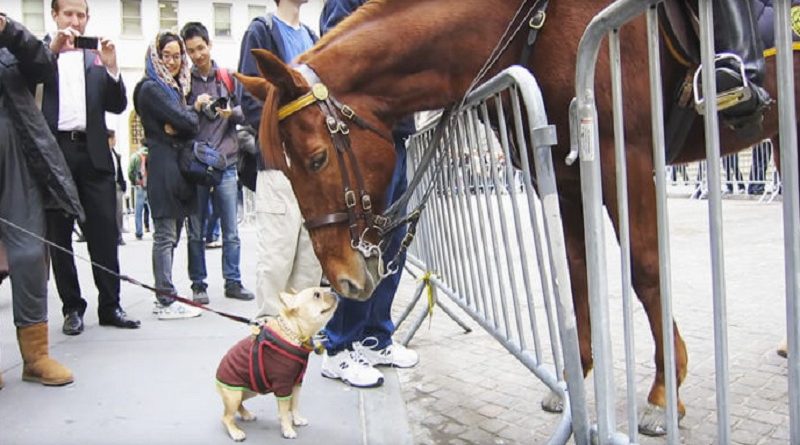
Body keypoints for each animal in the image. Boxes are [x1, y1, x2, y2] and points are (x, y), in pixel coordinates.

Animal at [214, 288, 336, 440]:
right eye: (317, 295)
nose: (334, 293)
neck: (294, 332)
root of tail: (216, 379)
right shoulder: (283, 385)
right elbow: (284, 410)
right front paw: (288, 429)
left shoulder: (296, 383)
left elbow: (294, 404)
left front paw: (297, 419)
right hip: (233, 395)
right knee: (227, 417)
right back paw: (235, 432)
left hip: (249, 391)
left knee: (240, 404)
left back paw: (246, 415)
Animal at [236, 0, 792, 438]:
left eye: (315, 160)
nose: (343, 280)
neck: (539, 22)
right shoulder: (565, 172)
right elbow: (575, 272)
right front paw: (575, 378)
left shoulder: (628, 158)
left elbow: (646, 270)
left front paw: (661, 394)